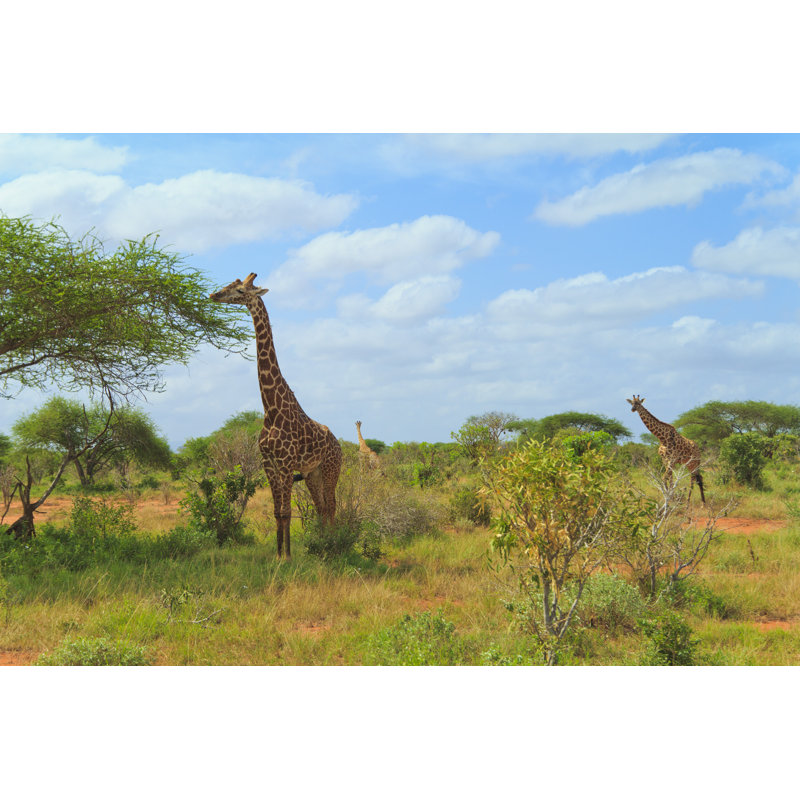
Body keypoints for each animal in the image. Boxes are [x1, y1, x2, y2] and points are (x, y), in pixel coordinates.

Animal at [209, 273, 342, 558]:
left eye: (240, 290)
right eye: (229, 284)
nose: (215, 295)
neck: (270, 409)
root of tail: (338, 444)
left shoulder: (286, 464)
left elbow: (287, 511)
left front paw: (288, 557)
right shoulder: (269, 463)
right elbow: (277, 512)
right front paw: (278, 555)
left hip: (331, 468)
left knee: (332, 504)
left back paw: (334, 545)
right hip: (312, 474)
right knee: (321, 507)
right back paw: (323, 543)